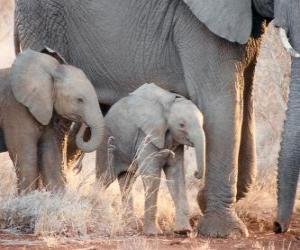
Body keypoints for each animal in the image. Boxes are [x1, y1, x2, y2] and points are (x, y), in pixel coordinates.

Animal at [0, 48, 104, 193]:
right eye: (80, 100)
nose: (83, 123)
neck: (51, 72)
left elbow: (50, 154)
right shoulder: (14, 108)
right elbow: (26, 156)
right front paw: (28, 196)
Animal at [96, 83, 206, 235]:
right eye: (182, 125)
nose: (196, 173)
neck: (169, 104)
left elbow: (176, 174)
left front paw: (183, 231)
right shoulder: (147, 135)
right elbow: (152, 175)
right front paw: (153, 233)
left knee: (127, 180)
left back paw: (130, 224)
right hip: (106, 143)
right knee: (104, 178)